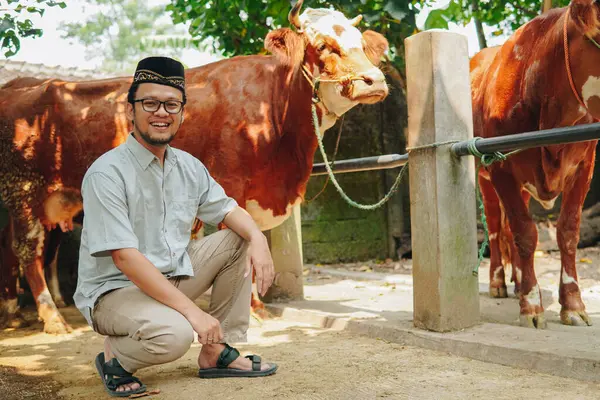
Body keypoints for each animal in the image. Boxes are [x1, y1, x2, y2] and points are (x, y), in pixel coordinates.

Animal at [0, 0, 390, 334]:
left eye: (361, 44)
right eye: (323, 45)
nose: (376, 81)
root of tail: (19, 85)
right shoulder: (231, 182)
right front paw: (252, 308)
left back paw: (14, 313)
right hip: (25, 193)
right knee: (28, 252)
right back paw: (51, 316)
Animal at [474, 0, 600, 328]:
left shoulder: (585, 164)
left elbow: (567, 231)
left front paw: (572, 304)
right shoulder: (499, 166)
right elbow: (524, 232)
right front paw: (531, 306)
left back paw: (519, 281)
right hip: (482, 175)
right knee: (496, 227)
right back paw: (499, 282)